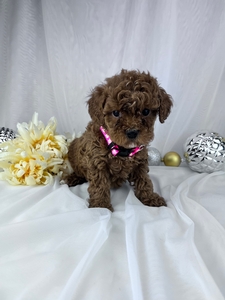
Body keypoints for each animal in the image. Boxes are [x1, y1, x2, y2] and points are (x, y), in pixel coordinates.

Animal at [66, 70, 172, 211]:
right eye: (116, 113)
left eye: (146, 111)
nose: (132, 132)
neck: (122, 149)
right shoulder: (96, 162)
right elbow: (99, 185)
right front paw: (100, 206)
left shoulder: (140, 162)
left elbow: (144, 181)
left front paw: (150, 197)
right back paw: (71, 178)